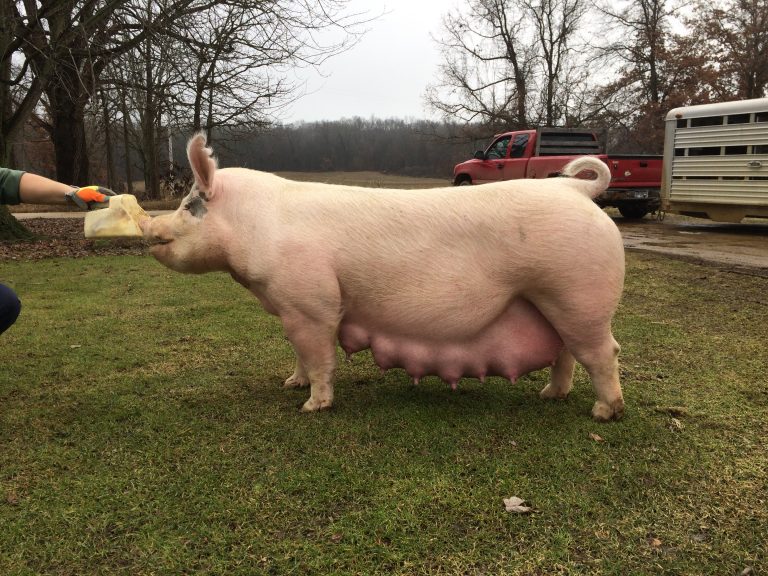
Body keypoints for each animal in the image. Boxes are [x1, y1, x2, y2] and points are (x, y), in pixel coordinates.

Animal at [140, 133, 625, 421]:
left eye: (189, 206)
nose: (148, 225)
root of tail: (575, 188)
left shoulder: (312, 304)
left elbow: (319, 357)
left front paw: (310, 406)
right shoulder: (291, 307)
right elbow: (297, 353)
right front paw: (290, 384)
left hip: (578, 295)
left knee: (603, 352)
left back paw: (604, 413)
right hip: (554, 303)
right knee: (566, 353)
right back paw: (549, 396)